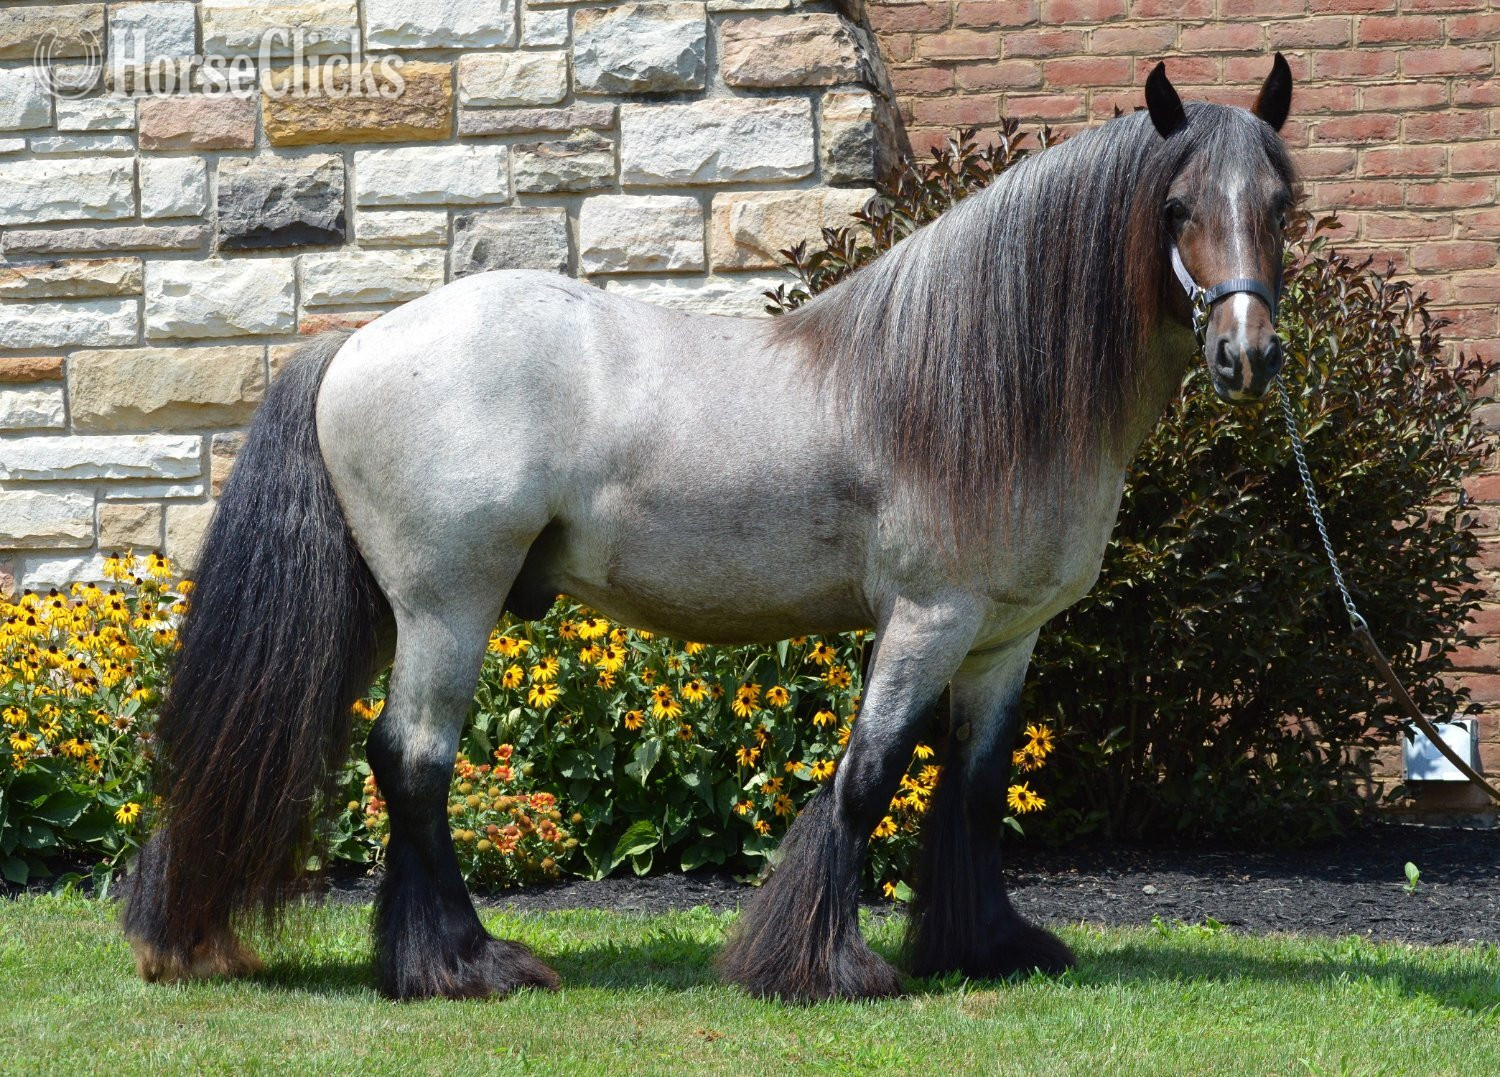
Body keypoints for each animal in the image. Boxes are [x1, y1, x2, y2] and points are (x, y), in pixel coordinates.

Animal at [123, 57, 1296, 1003]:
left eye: (1281, 204)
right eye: (1177, 205)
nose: (1247, 356)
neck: (980, 387)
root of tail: (357, 341)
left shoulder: (1005, 637)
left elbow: (971, 788)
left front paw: (985, 948)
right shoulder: (928, 618)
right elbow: (868, 775)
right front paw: (822, 967)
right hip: (446, 605)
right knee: (412, 761)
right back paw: (465, 963)